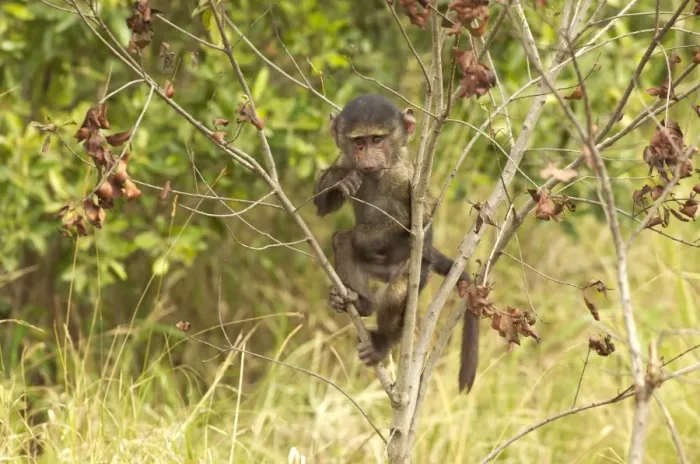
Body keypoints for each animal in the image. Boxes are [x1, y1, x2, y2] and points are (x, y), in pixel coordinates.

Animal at [313, 94, 480, 392]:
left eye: (378, 139)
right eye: (359, 142)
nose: (368, 159)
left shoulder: (404, 179)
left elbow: (415, 221)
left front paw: (364, 237)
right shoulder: (346, 160)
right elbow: (323, 204)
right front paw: (338, 183)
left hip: (414, 270)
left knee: (395, 291)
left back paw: (382, 341)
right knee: (342, 241)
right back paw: (361, 302)